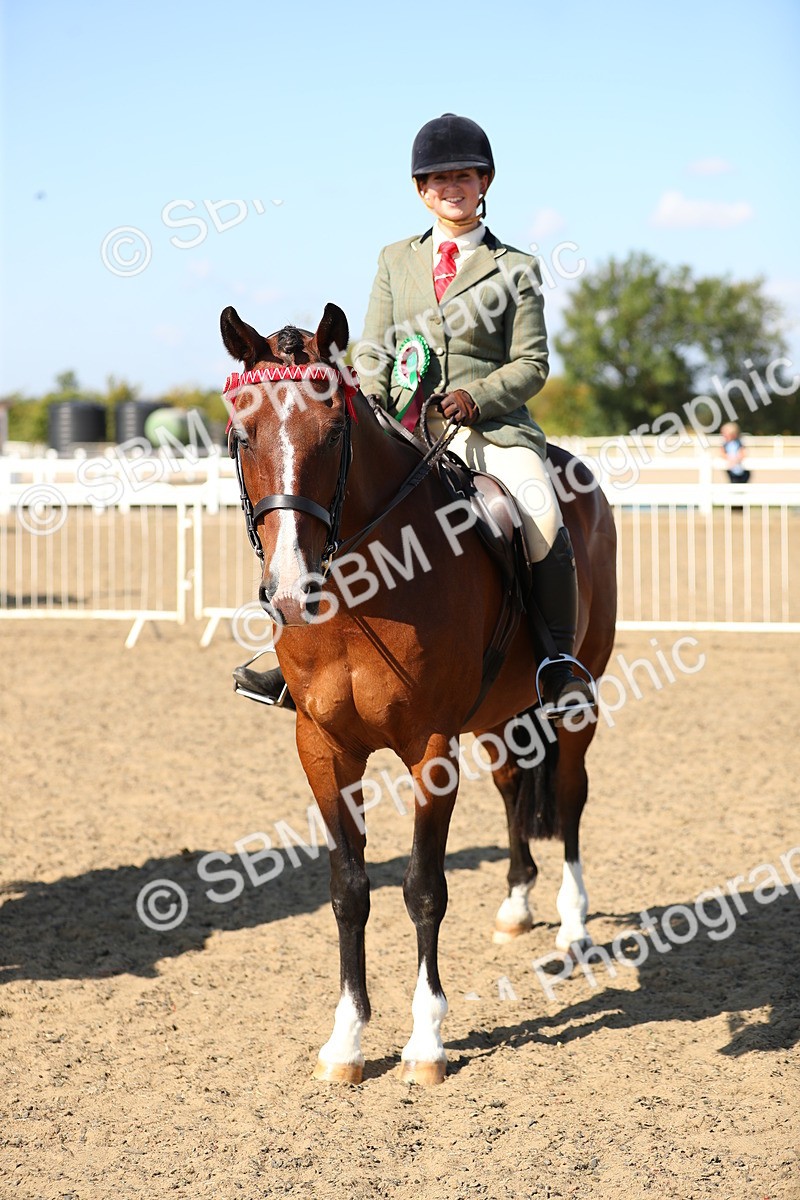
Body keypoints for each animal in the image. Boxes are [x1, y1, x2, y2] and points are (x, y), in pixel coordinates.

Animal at [220, 302, 617, 1085]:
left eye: (334, 433)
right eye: (243, 436)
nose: (290, 591)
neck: (360, 593)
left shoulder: (430, 750)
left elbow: (423, 888)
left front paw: (427, 1042)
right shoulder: (322, 749)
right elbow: (349, 890)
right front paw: (345, 1041)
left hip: (576, 701)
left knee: (570, 794)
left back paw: (573, 922)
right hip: (498, 716)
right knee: (512, 786)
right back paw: (517, 903)